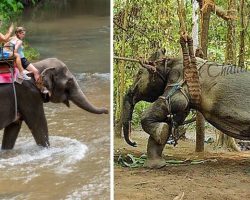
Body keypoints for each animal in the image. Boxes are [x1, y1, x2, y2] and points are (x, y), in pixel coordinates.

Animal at [122, 53, 250, 169]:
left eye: (139, 73)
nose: (134, 143)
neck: (169, 60)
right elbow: (174, 118)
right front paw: (156, 164)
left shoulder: (179, 80)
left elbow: (175, 103)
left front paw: (160, 132)